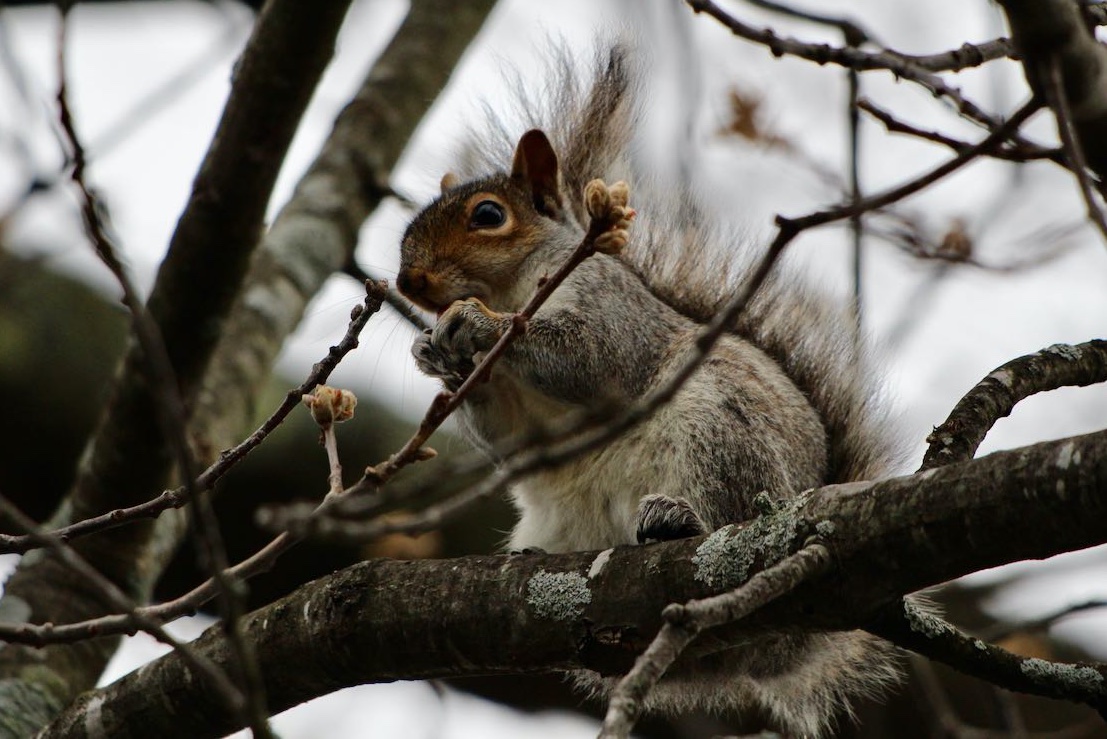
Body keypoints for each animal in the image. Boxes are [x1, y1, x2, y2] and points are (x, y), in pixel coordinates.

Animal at [396, 45, 901, 737]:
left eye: (489, 216)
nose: (407, 280)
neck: (510, 288)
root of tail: (783, 647)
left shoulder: (609, 310)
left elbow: (589, 359)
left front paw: (476, 324)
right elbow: (509, 437)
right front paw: (434, 353)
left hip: (723, 431)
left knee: (727, 517)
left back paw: (676, 521)